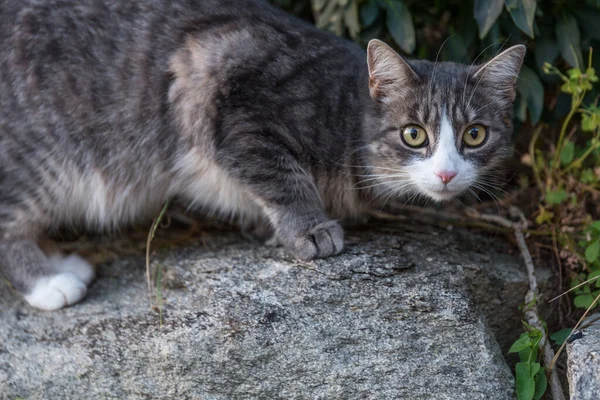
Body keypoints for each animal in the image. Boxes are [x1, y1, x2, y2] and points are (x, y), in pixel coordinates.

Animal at [0, 0, 524, 310]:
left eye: (475, 135)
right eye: (414, 135)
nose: (446, 174)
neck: (341, 107)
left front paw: (265, 227)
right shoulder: (221, 93)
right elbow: (280, 173)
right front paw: (307, 227)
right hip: (38, 157)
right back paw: (48, 282)